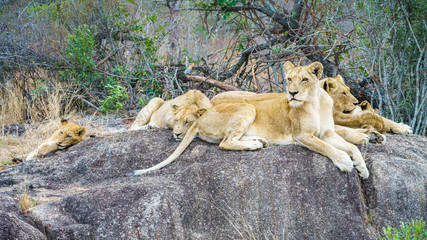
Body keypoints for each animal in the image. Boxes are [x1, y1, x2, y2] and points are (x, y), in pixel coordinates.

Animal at [125, 61, 370, 178]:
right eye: (289, 79)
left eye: (304, 80)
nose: (291, 93)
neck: (316, 102)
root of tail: (198, 120)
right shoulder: (303, 136)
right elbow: (328, 148)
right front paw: (345, 162)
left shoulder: (328, 133)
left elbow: (351, 147)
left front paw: (362, 168)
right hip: (247, 106)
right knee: (225, 143)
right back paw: (254, 145)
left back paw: (258, 142)